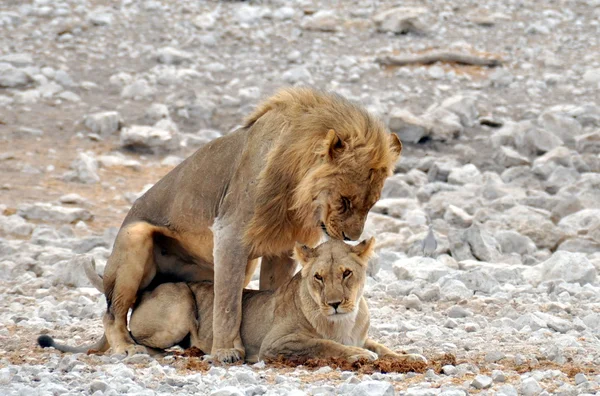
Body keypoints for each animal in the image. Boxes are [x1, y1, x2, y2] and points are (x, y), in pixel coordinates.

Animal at [37, 238, 426, 366]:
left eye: (346, 273)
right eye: (318, 277)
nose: (334, 303)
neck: (344, 319)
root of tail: (146, 290)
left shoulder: (361, 332)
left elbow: (383, 347)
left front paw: (410, 356)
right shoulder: (276, 345)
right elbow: (326, 344)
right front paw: (360, 356)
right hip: (180, 299)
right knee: (137, 340)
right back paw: (175, 352)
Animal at [95, 86, 404, 362]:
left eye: (372, 203)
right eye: (344, 200)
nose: (351, 237)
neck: (295, 190)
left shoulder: (282, 249)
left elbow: (269, 294)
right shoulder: (229, 233)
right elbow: (228, 306)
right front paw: (226, 351)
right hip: (135, 238)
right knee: (112, 313)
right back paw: (126, 347)